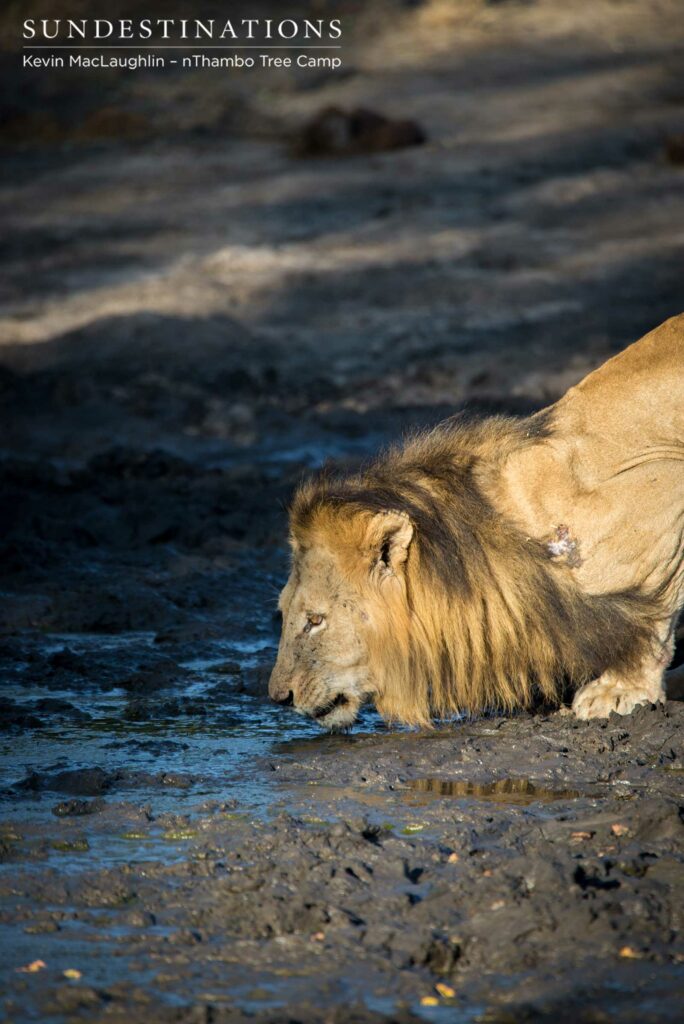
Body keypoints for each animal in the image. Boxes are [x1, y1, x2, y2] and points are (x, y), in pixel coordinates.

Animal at [269, 315, 684, 731]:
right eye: (284, 612)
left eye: (315, 620)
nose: (279, 697)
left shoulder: (665, 488)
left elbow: (654, 613)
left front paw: (619, 690)